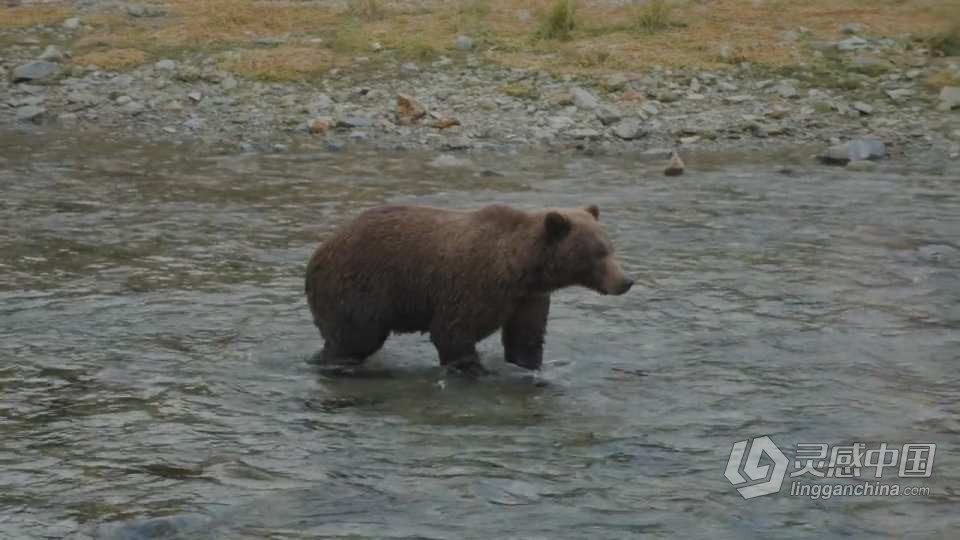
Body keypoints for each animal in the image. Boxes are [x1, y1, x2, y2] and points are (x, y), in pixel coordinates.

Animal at [306, 204, 632, 376]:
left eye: (610, 248)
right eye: (597, 253)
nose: (625, 281)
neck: (520, 269)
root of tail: (320, 249)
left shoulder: (528, 299)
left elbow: (525, 339)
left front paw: (530, 367)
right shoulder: (472, 285)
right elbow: (452, 333)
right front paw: (473, 368)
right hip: (359, 287)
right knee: (354, 337)